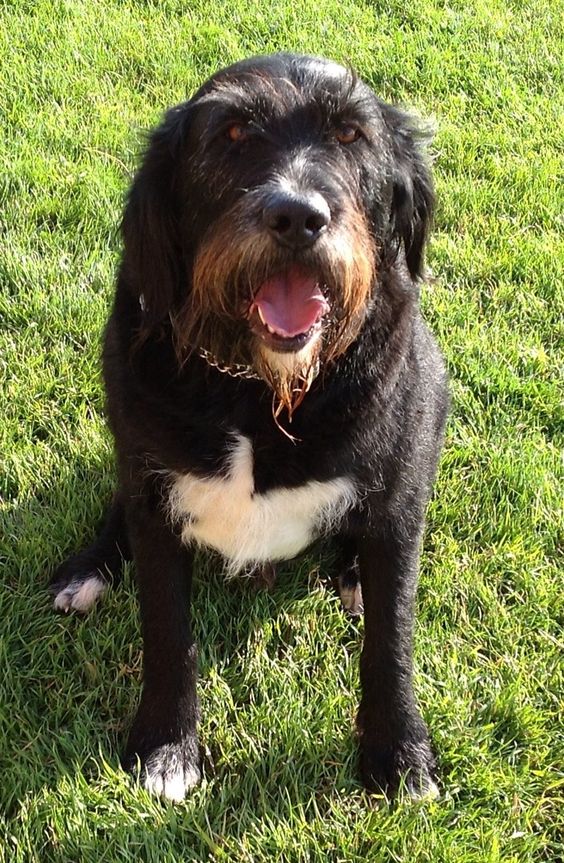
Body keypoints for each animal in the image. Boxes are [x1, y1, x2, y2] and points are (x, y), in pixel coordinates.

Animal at [53, 54, 450, 804]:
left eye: (351, 134)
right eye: (233, 132)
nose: (296, 217)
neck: (254, 388)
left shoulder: (399, 493)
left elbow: (393, 639)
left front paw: (400, 754)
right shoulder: (154, 496)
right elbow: (167, 629)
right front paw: (168, 746)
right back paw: (86, 570)